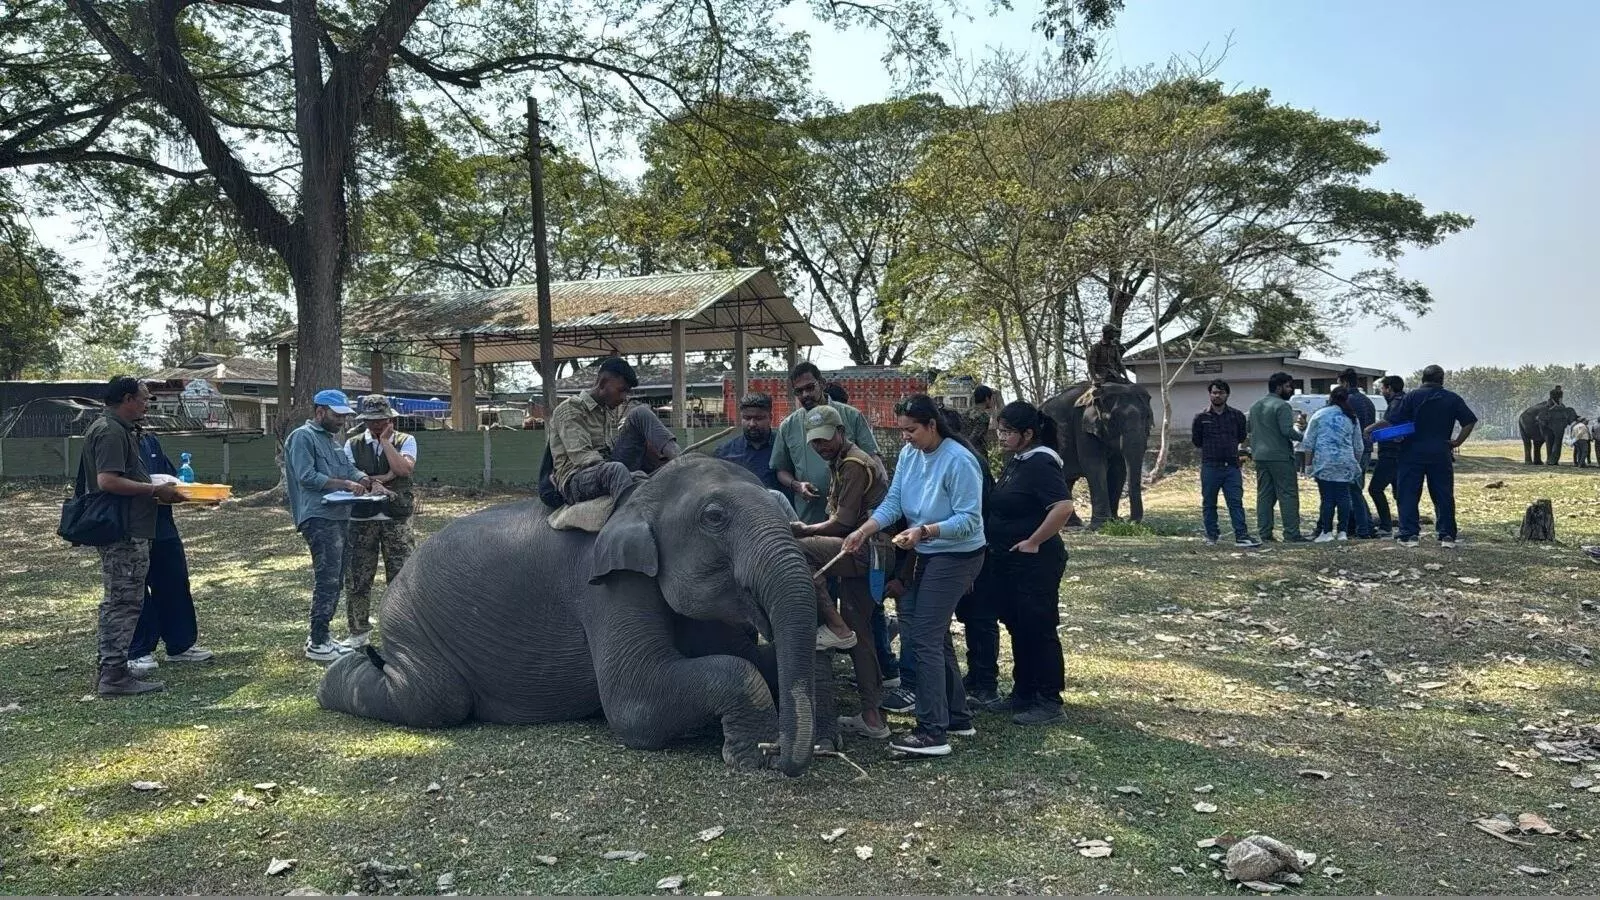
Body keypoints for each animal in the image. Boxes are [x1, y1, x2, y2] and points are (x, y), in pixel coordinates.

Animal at [315, 455, 827, 777]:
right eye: (715, 517)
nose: (784, 757)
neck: (642, 494)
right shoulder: (605, 586)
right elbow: (633, 704)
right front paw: (753, 756)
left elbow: (749, 657)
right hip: (413, 622)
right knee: (434, 700)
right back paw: (333, 679)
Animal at [1040, 382, 1154, 529]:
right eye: (1114, 419)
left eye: (1147, 417)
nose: (1132, 522)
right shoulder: (1082, 426)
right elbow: (1094, 465)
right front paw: (1101, 525)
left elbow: (1118, 470)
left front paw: (1115, 521)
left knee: (1066, 481)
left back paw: (1071, 524)